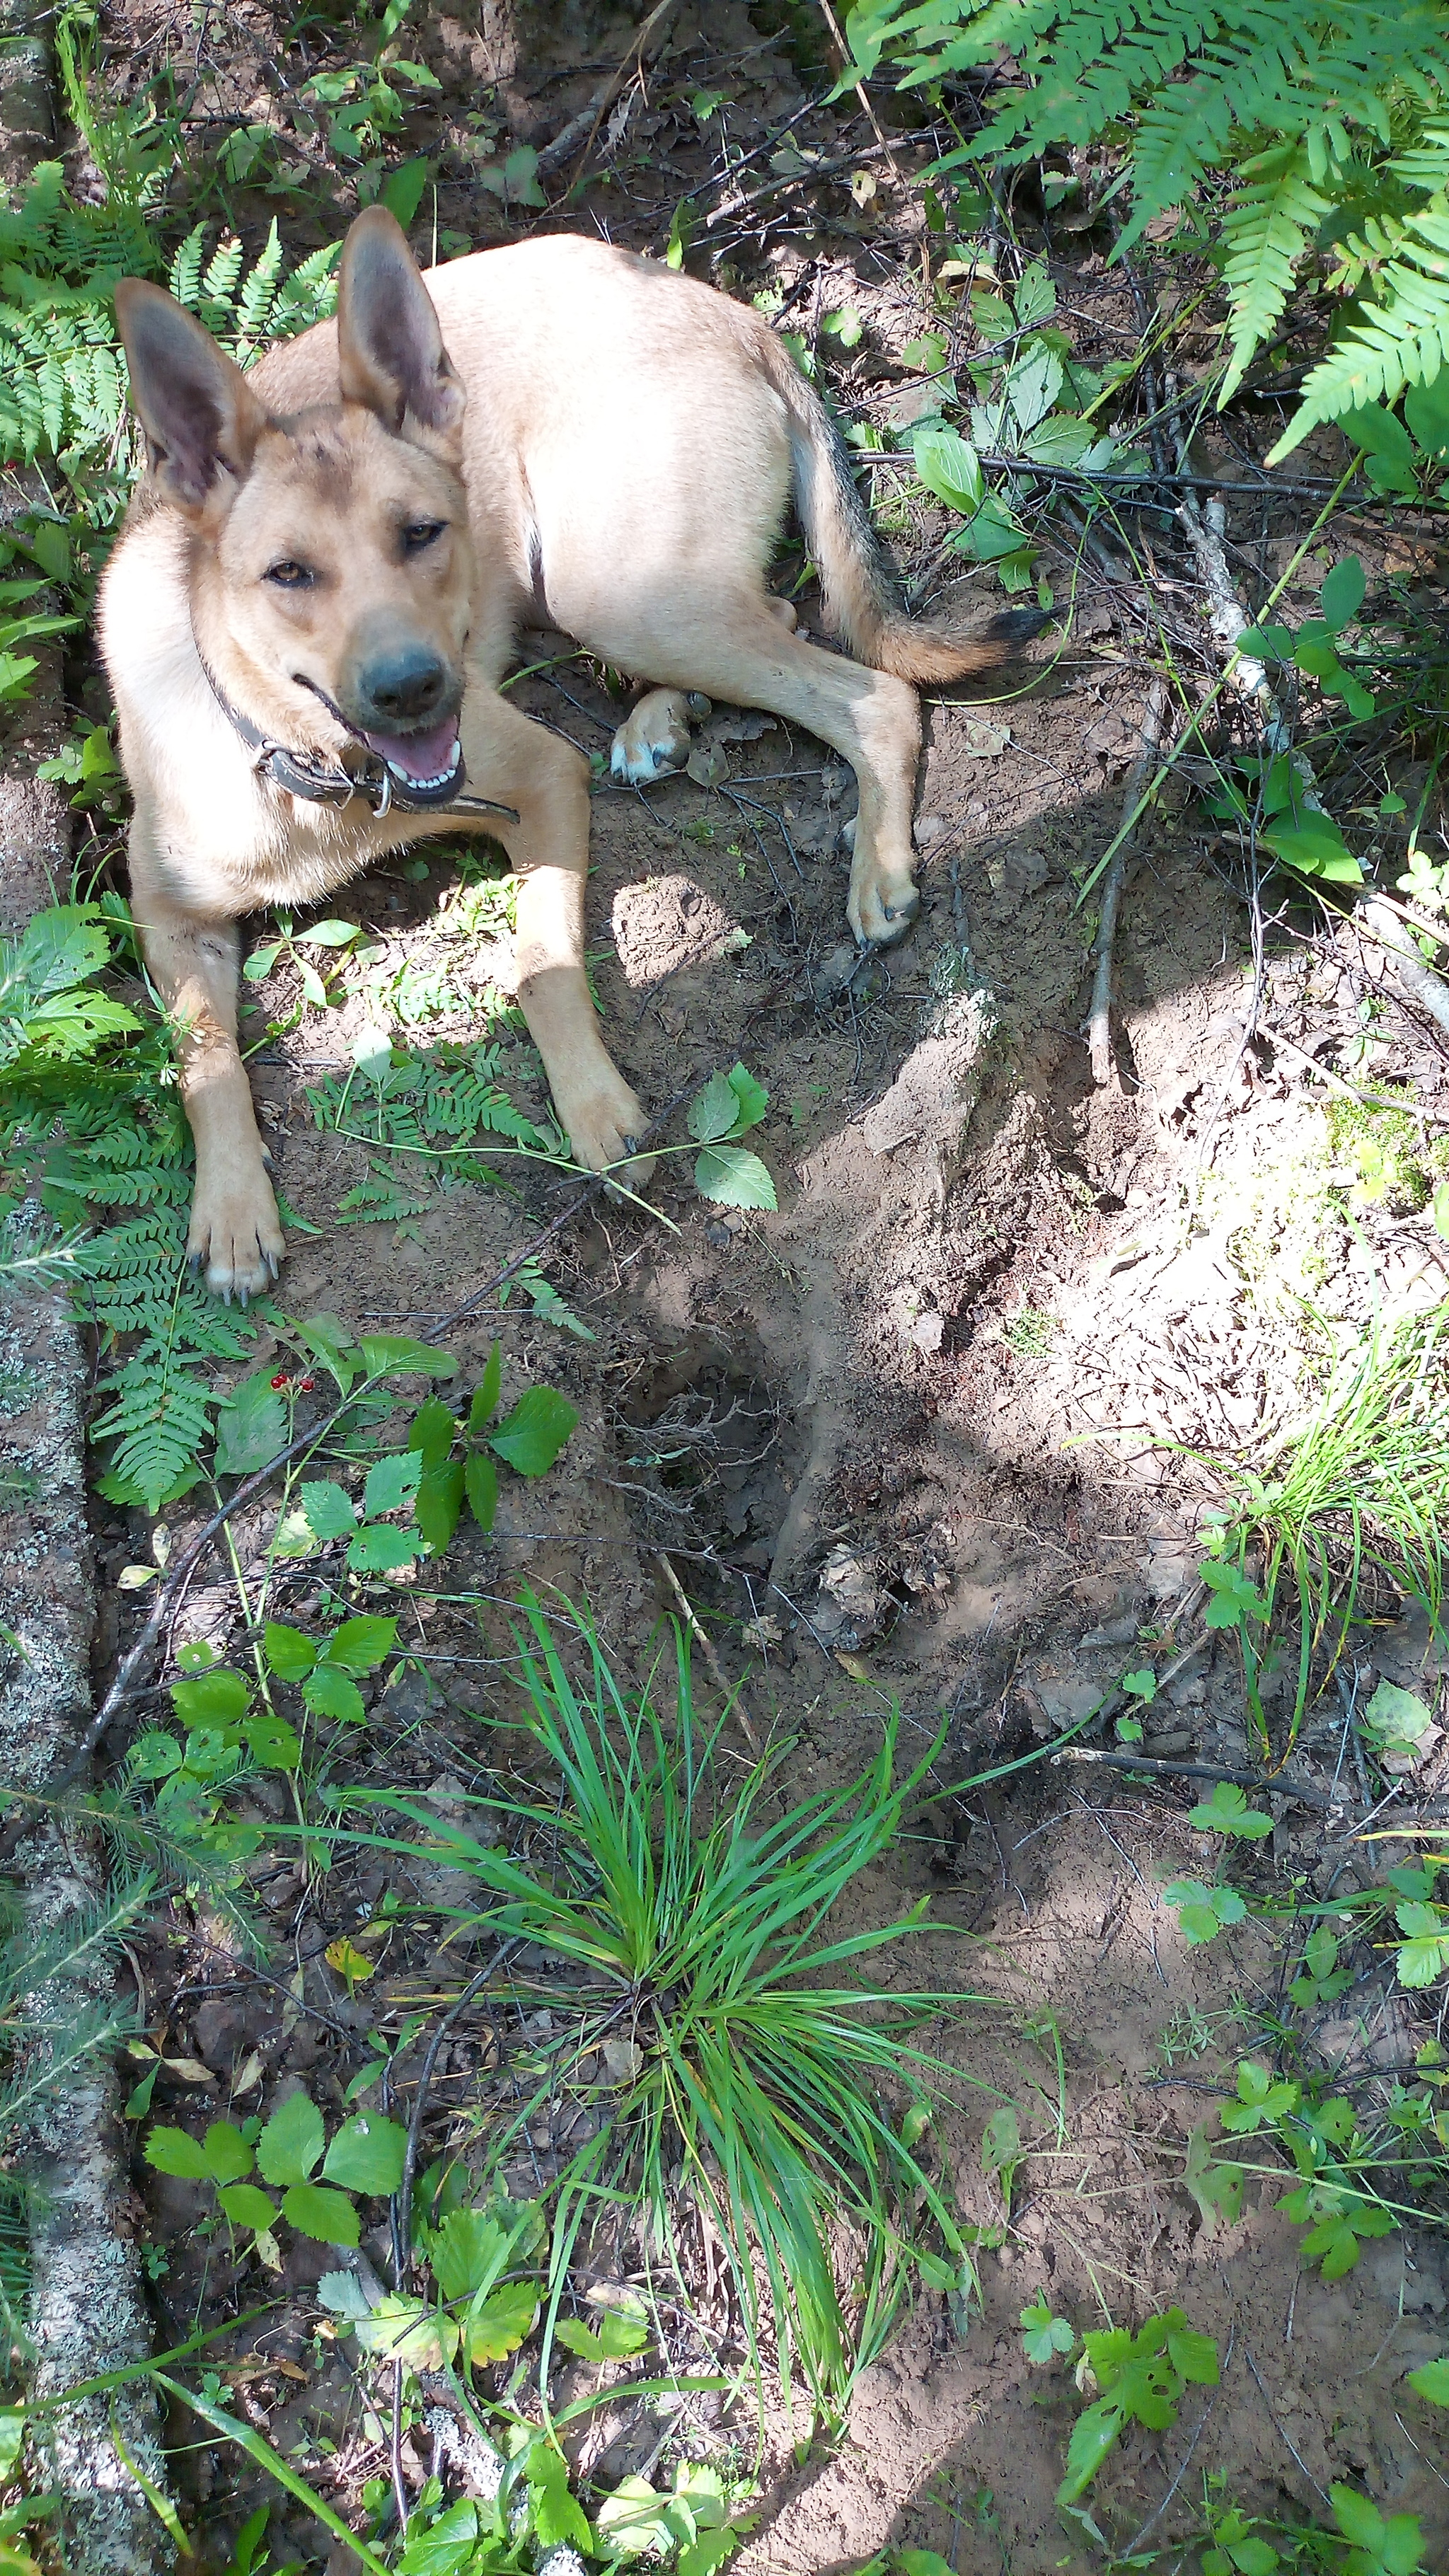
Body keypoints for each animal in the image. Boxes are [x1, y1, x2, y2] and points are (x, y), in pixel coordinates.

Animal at [101, 208, 1036, 1298]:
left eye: (423, 533)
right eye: (288, 574)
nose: (415, 687)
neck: (322, 782)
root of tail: (728, 311)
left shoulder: (544, 777)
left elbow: (541, 965)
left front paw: (594, 1109)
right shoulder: (167, 911)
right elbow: (203, 1056)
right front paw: (231, 1209)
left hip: (612, 587)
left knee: (872, 692)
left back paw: (872, 866)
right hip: (619, 591)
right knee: (776, 613)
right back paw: (658, 725)